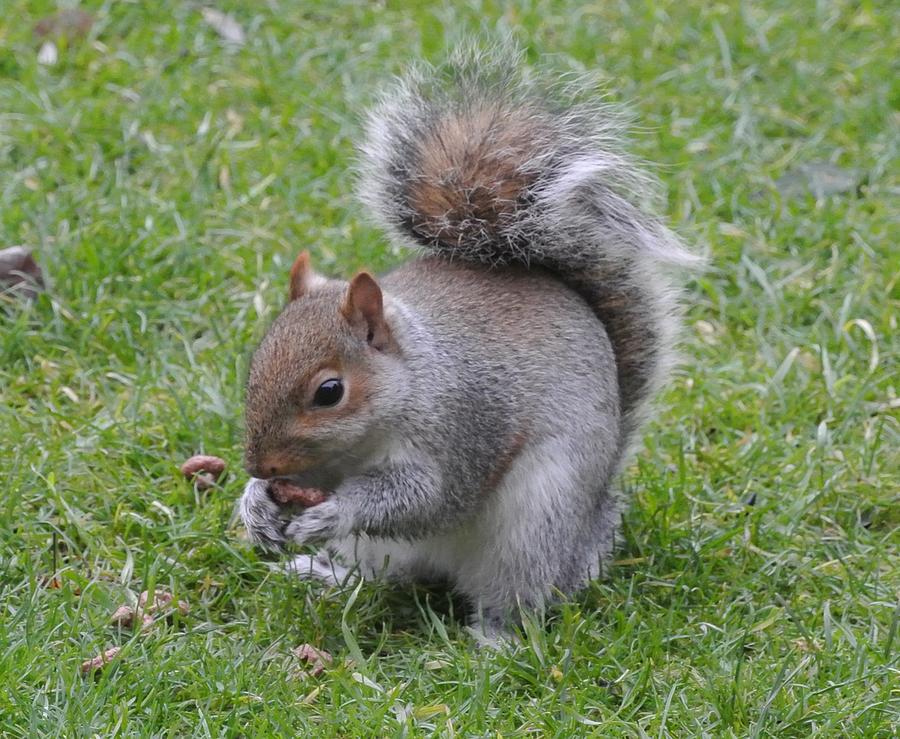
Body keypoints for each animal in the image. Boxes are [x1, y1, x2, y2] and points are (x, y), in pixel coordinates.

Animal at [236, 44, 700, 636]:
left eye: (329, 392)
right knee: (386, 573)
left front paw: (331, 511)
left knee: (518, 593)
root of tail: (586, 536)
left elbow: (425, 498)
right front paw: (255, 506)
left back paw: (494, 638)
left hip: (535, 523)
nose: (259, 466)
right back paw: (326, 575)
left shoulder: (462, 429)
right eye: (255, 367)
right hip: (382, 549)